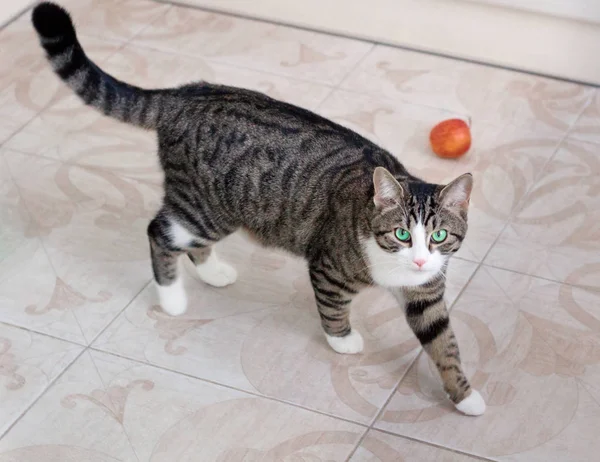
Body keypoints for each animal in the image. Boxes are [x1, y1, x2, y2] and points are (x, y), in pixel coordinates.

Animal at [30, 1, 486, 416]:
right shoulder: (329, 267)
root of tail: (183, 93)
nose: (421, 259)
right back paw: (173, 299)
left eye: (439, 235)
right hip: (206, 207)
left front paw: (465, 397)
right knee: (159, 231)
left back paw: (213, 273)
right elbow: (334, 308)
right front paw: (342, 340)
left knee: (186, 241)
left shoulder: (426, 295)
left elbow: (444, 344)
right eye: (402, 233)